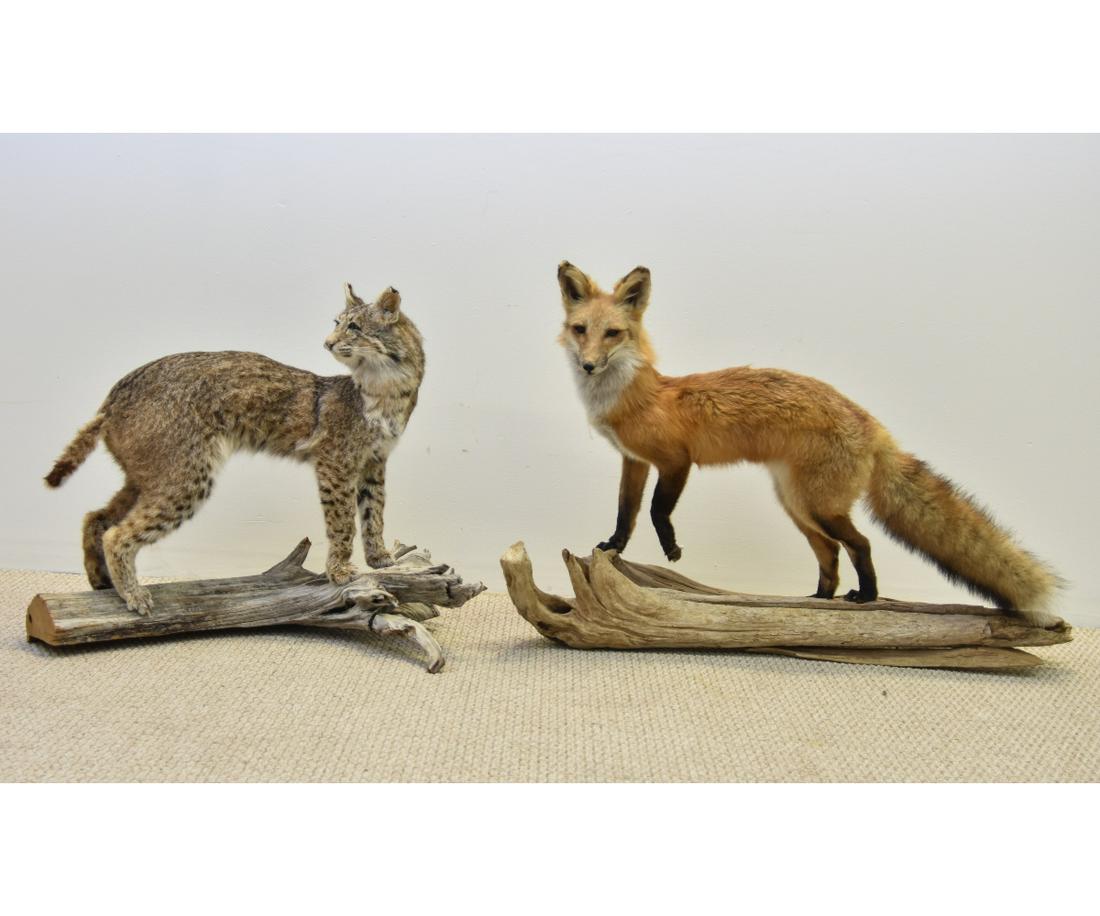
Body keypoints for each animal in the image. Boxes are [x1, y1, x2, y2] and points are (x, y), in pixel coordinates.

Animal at [556, 260, 1063, 628]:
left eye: (613, 333)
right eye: (581, 329)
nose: (588, 365)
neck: (638, 396)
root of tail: (872, 422)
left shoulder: (676, 461)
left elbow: (658, 511)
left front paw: (672, 550)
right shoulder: (634, 462)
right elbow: (626, 512)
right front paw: (612, 548)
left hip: (818, 505)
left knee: (860, 545)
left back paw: (867, 597)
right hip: (797, 504)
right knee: (831, 555)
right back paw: (817, 601)